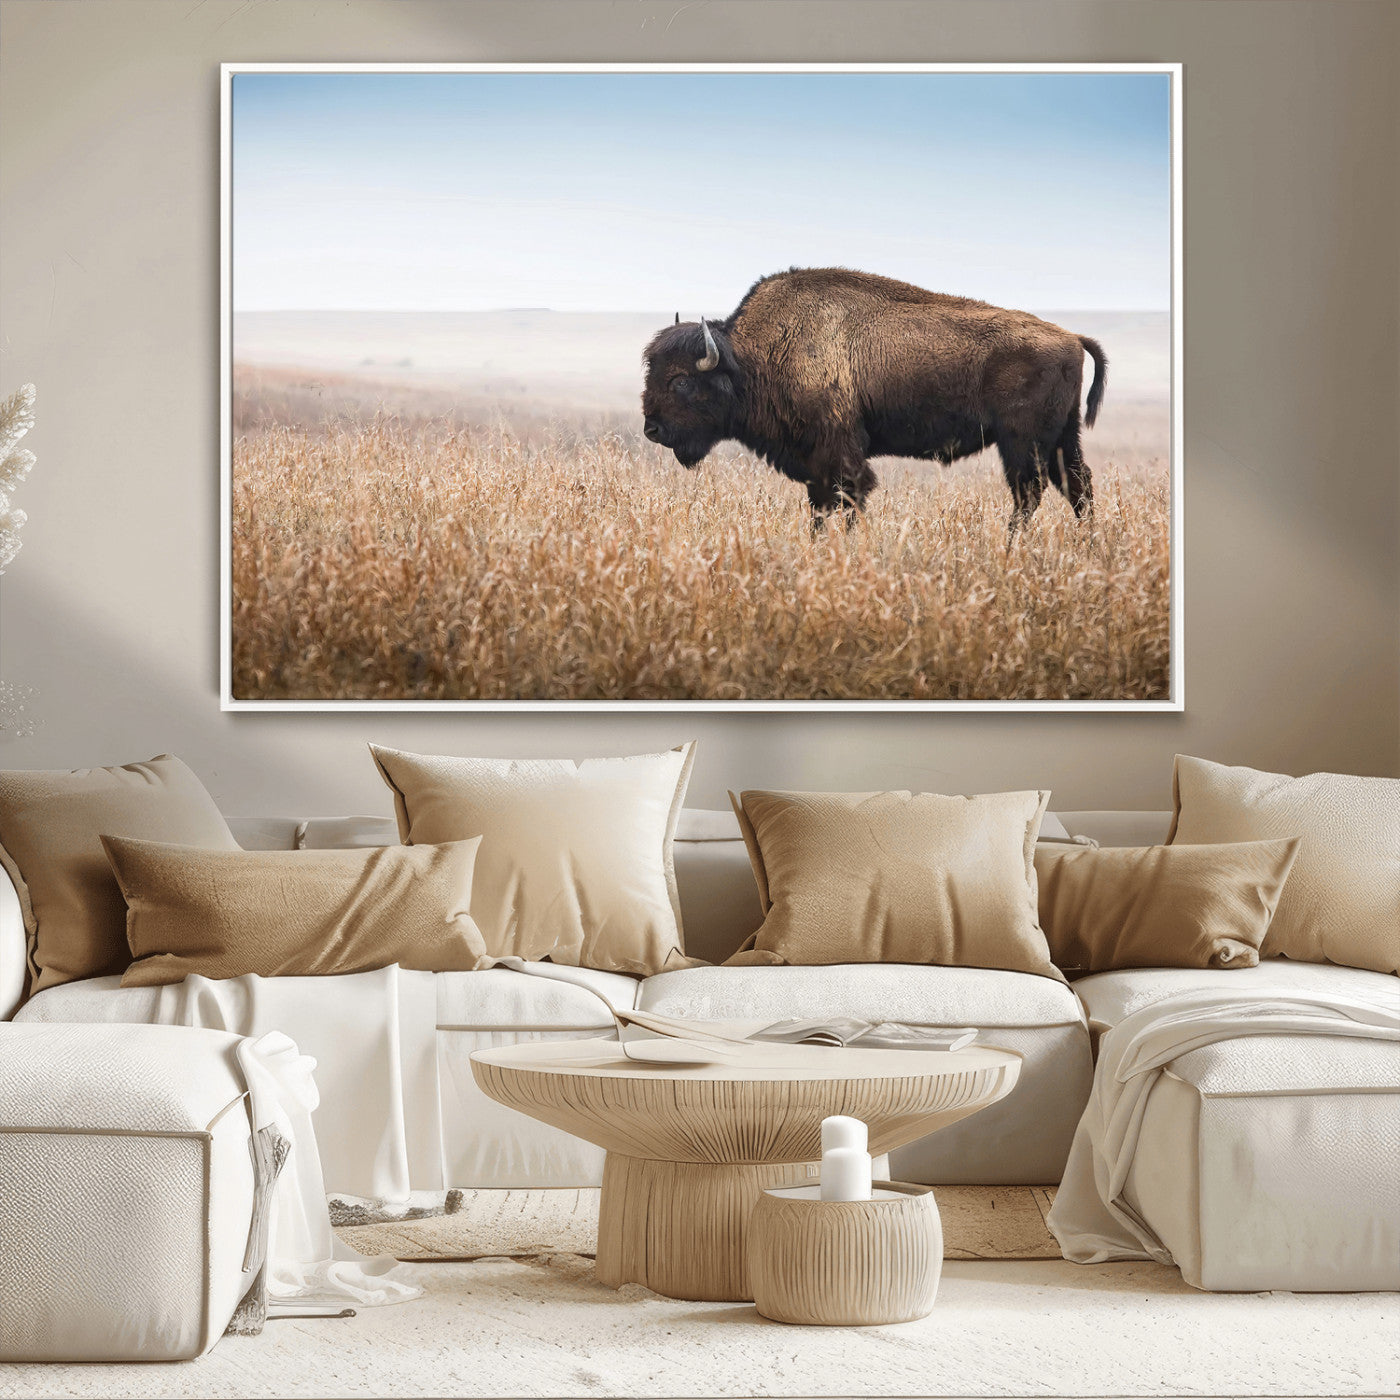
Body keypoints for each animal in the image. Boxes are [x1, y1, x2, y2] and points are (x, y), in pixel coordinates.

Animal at [642, 267, 1107, 533]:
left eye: (681, 381)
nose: (652, 429)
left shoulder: (840, 455)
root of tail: (1071, 337)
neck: (751, 357)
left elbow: (848, 499)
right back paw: (1087, 546)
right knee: (1077, 486)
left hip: (1022, 443)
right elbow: (820, 508)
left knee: (1030, 492)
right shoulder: (815, 464)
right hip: (1062, 439)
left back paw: (1012, 547)